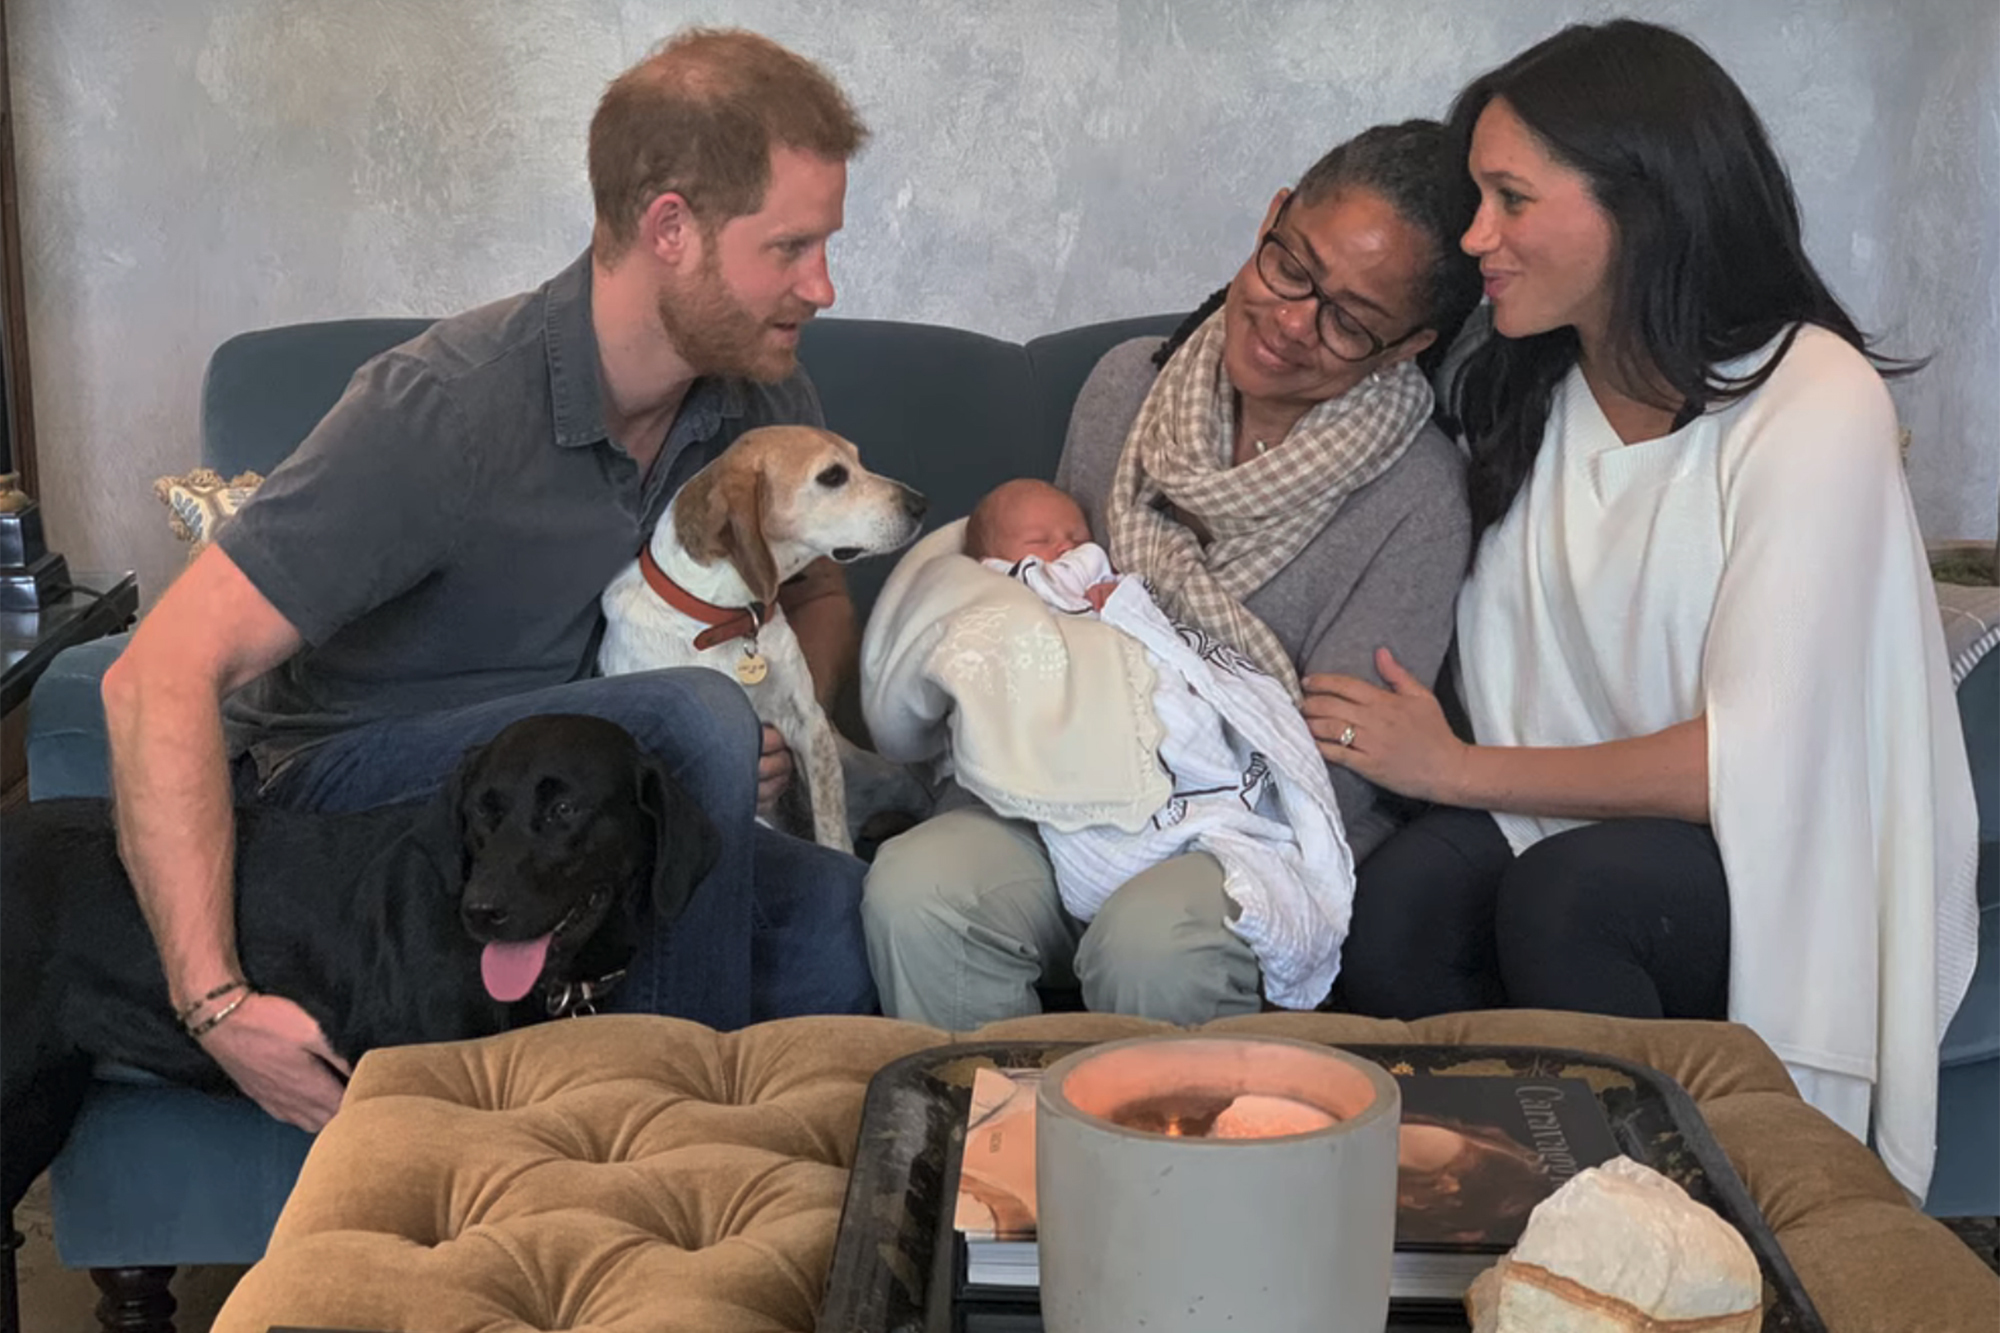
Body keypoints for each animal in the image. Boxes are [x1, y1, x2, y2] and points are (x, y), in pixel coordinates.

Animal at [596, 430, 932, 856]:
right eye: (833, 476)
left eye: (858, 460)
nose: (921, 504)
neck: (729, 622)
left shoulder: (809, 724)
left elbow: (832, 830)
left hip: (878, 773)